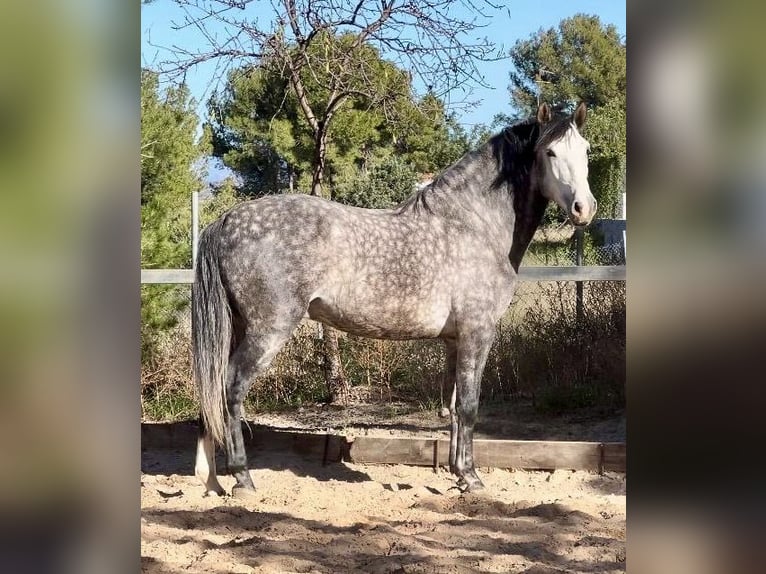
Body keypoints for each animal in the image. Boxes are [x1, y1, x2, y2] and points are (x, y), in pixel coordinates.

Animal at [192, 101, 600, 498]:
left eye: (585, 150)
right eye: (549, 152)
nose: (584, 208)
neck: (474, 225)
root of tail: (225, 220)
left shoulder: (454, 340)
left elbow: (453, 408)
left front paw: (458, 474)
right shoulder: (477, 333)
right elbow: (469, 407)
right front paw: (473, 479)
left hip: (237, 327)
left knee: (211, 387)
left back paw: (210, 480)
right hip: (269, 330)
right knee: (231, 388)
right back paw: (242, 479)